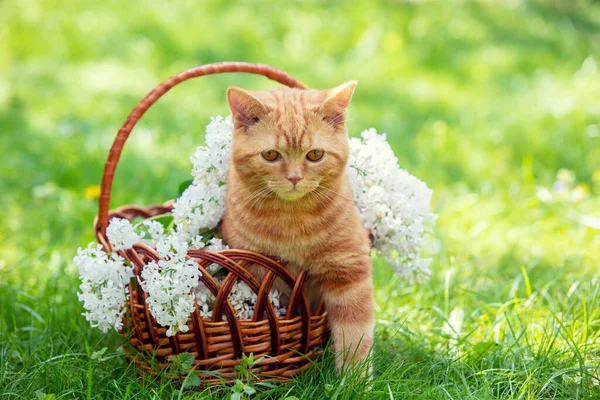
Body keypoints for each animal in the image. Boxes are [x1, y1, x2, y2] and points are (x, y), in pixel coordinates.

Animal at [223, 82, 372, 372]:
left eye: (315, 154)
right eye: (270, 155)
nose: (294, 178)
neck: (292, 221)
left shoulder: (350, 270)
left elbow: (356, 337)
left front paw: (354, 380)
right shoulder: (257, 270)